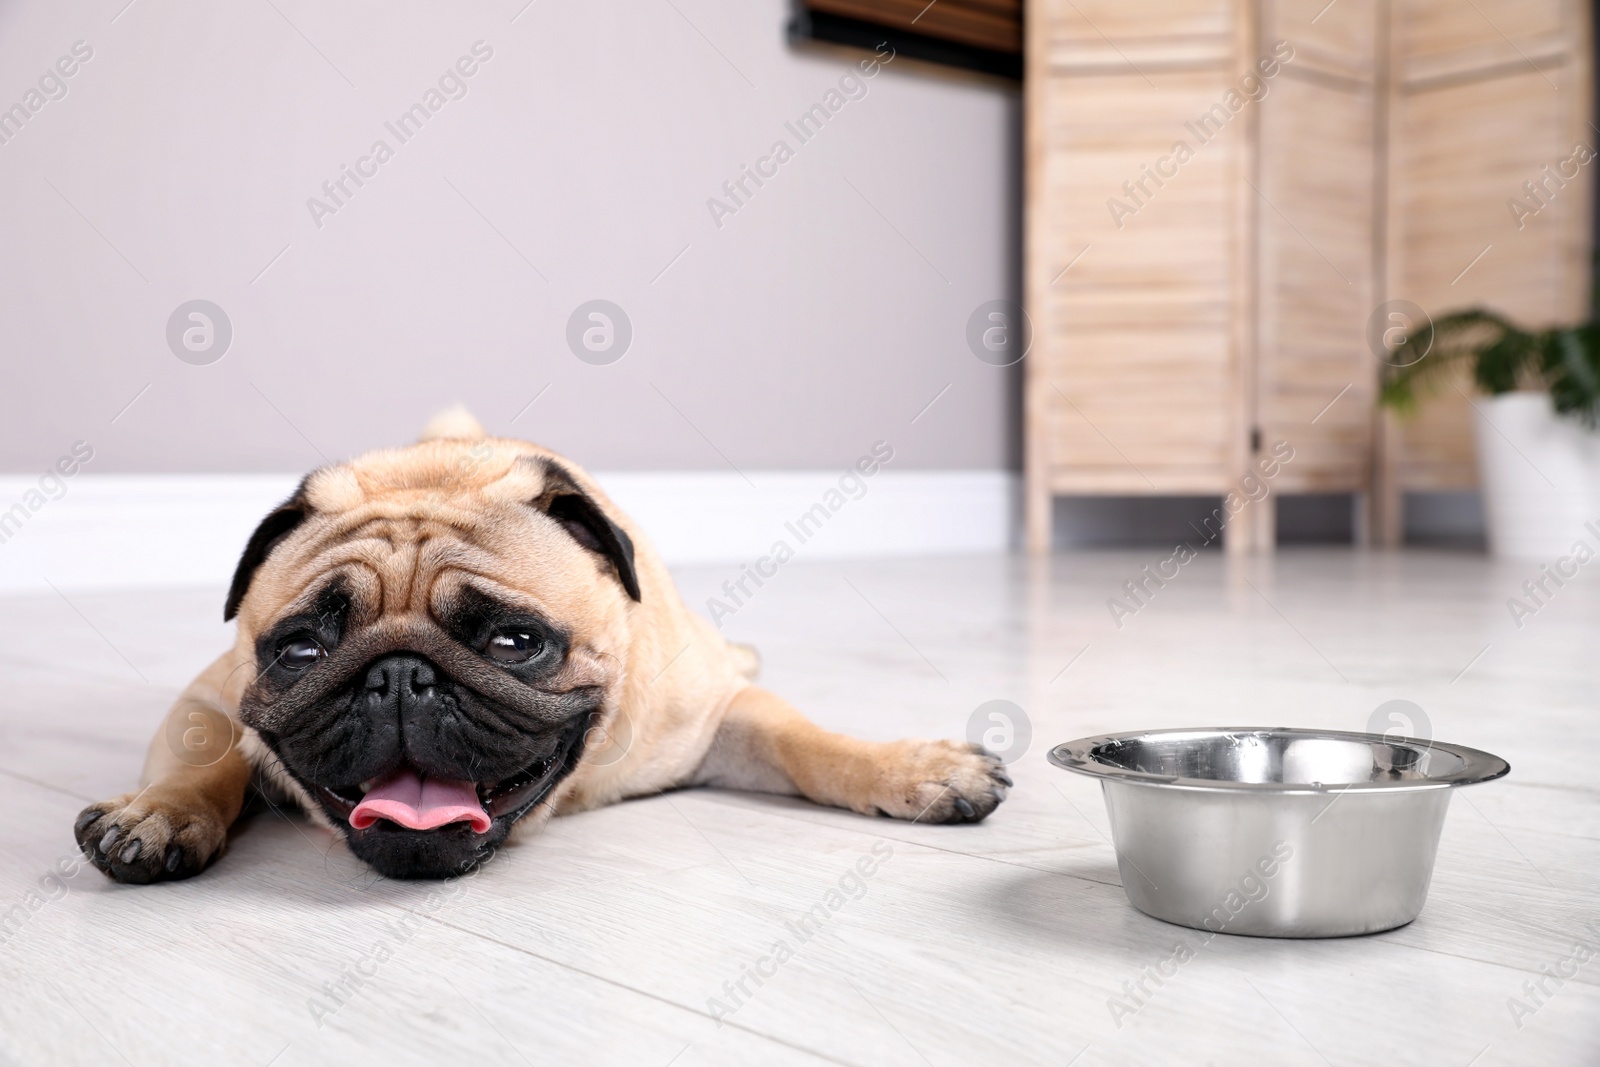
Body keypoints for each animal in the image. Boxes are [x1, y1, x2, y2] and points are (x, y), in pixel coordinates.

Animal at [72, 412, 1011, 883]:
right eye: (300, 651)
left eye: (516, 640)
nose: (399, 676)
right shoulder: (211, 695)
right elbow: (208, 753)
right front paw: (159, 813)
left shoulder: (712, 719)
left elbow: (809, 741)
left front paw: (915, 768)